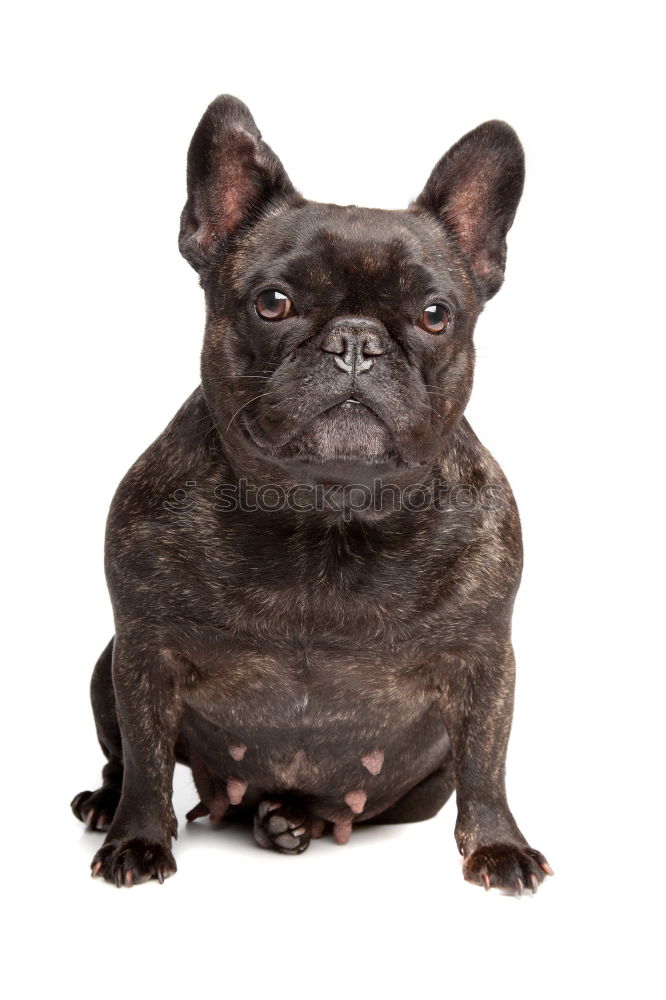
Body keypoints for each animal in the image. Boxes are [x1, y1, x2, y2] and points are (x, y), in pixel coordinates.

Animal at [71, 94, 548, 892]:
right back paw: (112, 806)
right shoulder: (143, 652)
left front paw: (498, 845)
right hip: (105, 667)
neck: (327, 511)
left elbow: (488, 763)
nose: (355, 341)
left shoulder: (485, 661)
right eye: (273, 302)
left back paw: (291, 818)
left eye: (435, 314)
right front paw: (138, 837)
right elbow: (144, 760)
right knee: (122, 760)